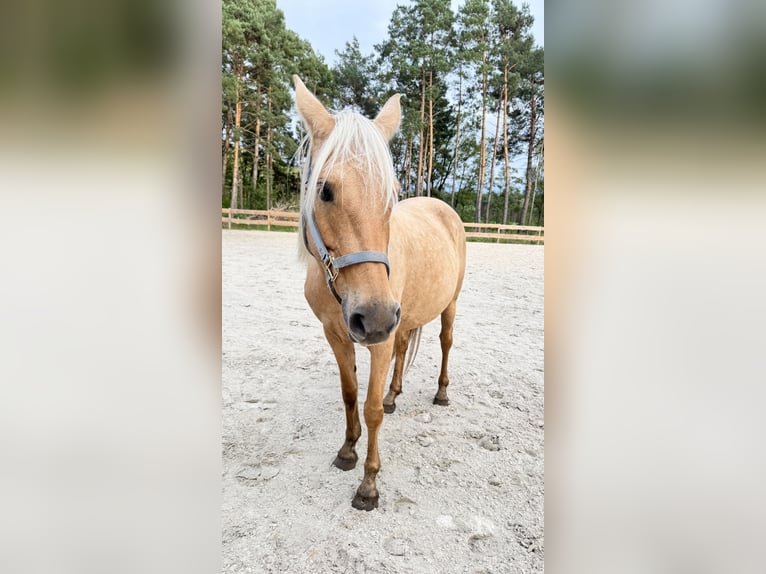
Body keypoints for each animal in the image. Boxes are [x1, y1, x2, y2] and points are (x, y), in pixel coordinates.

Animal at [293, 75, 467, 511]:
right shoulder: (337, 335)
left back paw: (441, 393)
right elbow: (350, 394)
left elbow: (370, 410)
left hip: (447, 306)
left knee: (445, 342)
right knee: (403, 347)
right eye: (324, 190)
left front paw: (369, 483)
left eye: (393, 192)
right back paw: (394, 393)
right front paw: (347, 451)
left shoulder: (379, 341)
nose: (373, 317)